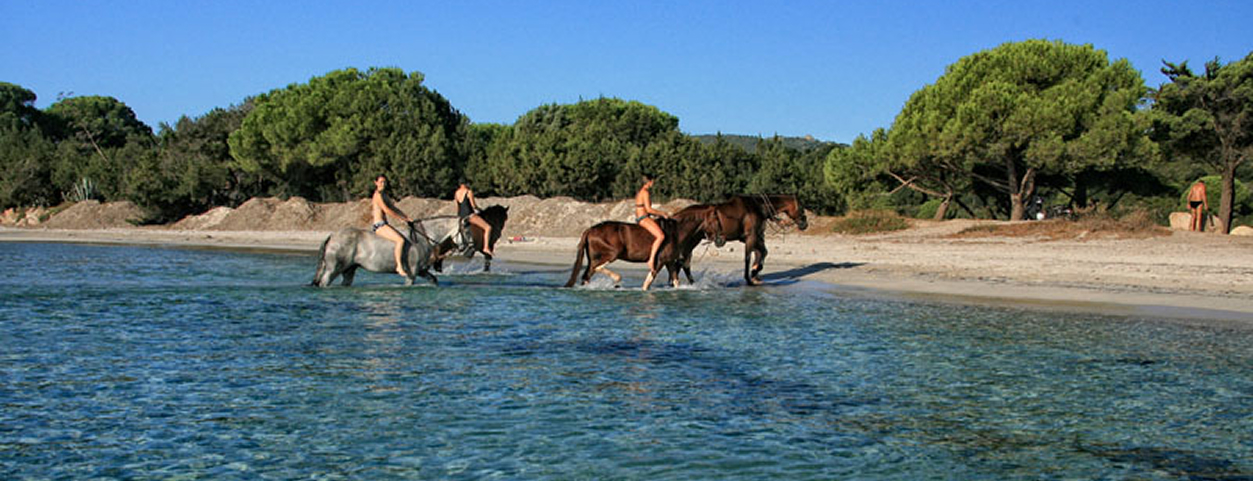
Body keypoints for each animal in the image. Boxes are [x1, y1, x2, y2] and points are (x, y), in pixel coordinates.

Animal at [310, 216, 463, 287]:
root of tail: (332, 236)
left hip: (349, 270)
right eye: (465, 229)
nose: (464, 249)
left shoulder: (421, 271)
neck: (423, 237)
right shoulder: (412, 273)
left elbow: (433, 279)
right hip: (333, 269)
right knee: (324, 282)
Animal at [564, 210, 724, 290]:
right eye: (716, 221)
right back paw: (617, 280)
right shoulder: (659, 262)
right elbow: (647, 284)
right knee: (594, 269)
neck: (676, 232)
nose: (721, 240)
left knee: (586, 275)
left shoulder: (670, 262)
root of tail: (590, 230)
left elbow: (675, 281)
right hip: (610, 254)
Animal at [672, 194, 807, 286]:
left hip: (692, 241)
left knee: (682, 263)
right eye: (801, 208)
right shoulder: (751, 237)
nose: (804, 224)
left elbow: (763, 252)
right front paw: (751, 276)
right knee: (681, 262)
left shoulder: (755, 237)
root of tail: (676, 216)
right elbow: (748, 258)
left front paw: (755, 272)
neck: (759, 207)